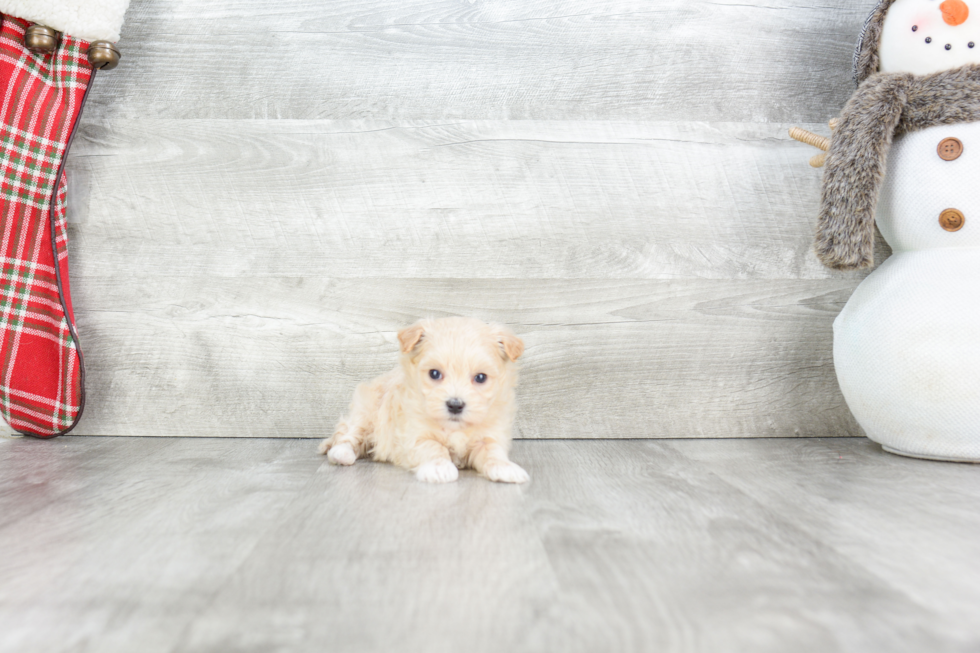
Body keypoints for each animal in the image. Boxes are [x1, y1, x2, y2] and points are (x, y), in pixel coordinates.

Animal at [316, 316, 528, 484]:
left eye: (481, 377)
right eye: (434, 374)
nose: (455, 405)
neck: (455, 428)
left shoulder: (489, 436)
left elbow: (493, 452)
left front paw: (505, 467)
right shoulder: (414, 435)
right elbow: (433, 447)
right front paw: (440, 467)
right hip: (366, 409)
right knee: (350, 434)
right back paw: (341, 452)